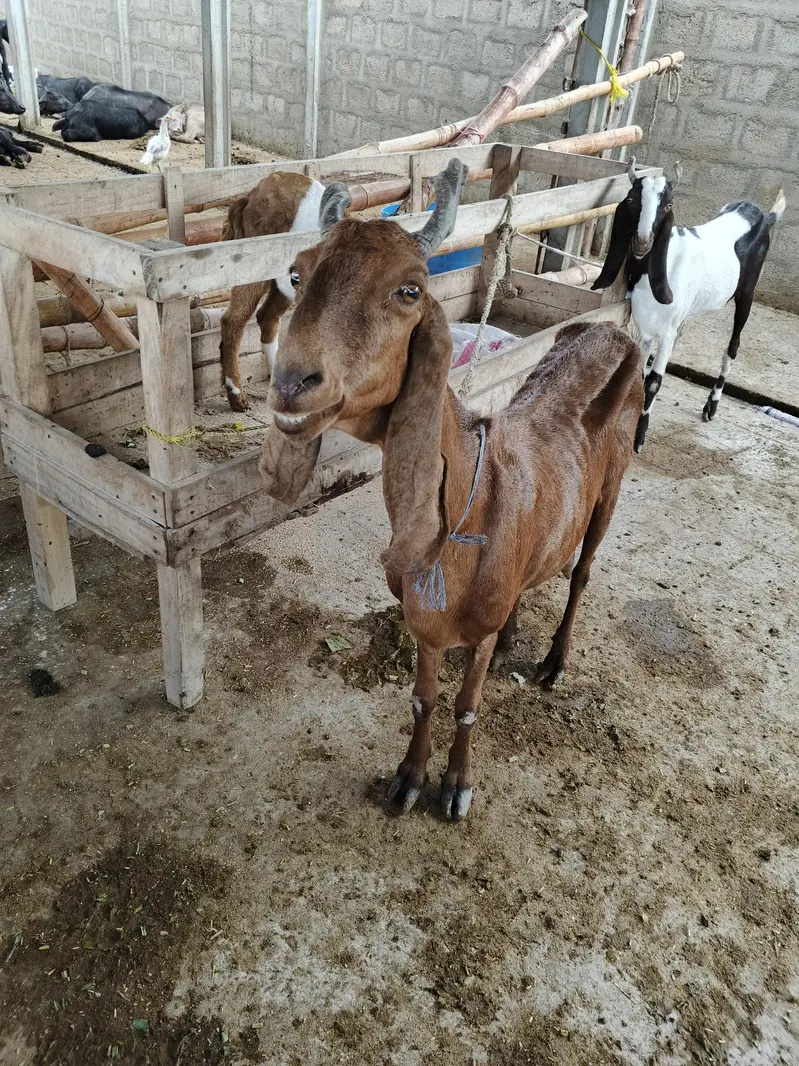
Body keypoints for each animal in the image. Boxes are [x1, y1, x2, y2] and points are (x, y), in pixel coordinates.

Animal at [219, 172, 325, 412]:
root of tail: (250, 196)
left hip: (282, 281)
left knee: (267, 317)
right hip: (254, 264)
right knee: (234, 320)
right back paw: (237, 396)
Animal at [257, 160, 644, 822]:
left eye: (410, 290)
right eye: (298, 274)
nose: (292, 383)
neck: (471, 499)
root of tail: (611, 335)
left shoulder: (471, 635)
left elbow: (466, 706)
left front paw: (457, 785)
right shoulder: (424, 622)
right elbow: (423, 699)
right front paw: (409, 777)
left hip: (608, 494)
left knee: (582, 573)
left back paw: (553, 661)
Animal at [592, 159, 786, 452]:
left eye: (668, 206)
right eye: (631, 200)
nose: (642, 242)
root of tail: (764, 216)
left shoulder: (666, 332)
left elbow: (653, 381)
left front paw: (639, 437)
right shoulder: (644, 325)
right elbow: (639, 373)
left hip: (747, 293)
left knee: (732, 347)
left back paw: (711, 406)